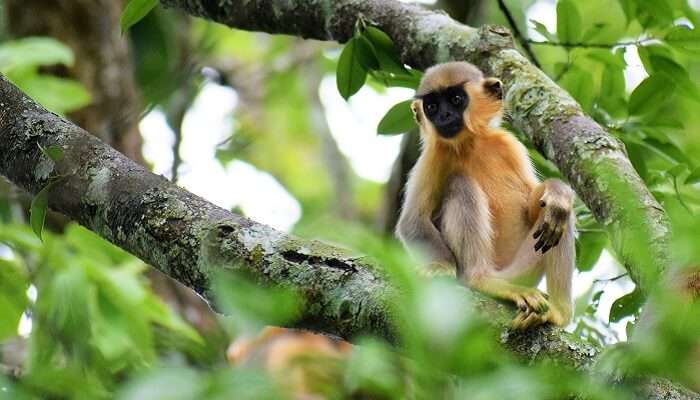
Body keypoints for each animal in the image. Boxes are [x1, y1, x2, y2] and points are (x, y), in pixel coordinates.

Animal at [396, 61, 576, 332]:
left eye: (456, 99)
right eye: (432, 107)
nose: (444, 116)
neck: (468, 145)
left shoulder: (509, 145)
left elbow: (535, 206)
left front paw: (558, 191)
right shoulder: (433, 156)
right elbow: (412, 221)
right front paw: (439, 267)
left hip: (523, 268)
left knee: (558, 218)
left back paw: (559, 311)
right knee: (459, 184)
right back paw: (481, 280)